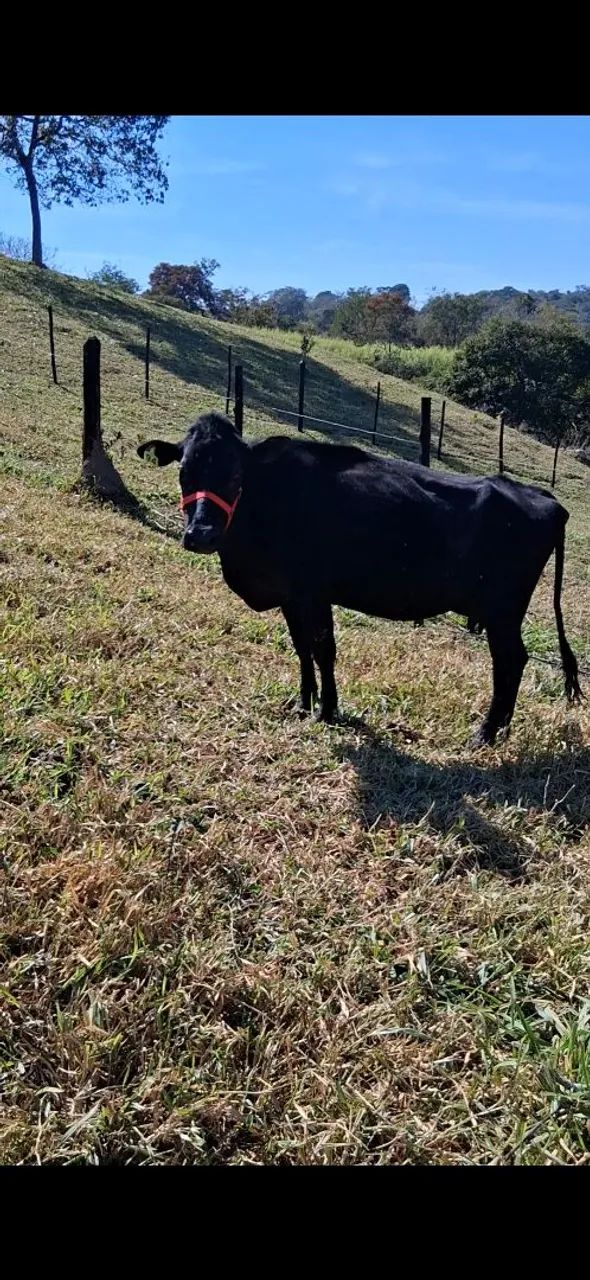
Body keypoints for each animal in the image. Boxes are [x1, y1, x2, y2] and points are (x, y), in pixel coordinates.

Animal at [138, 412, 582, 747]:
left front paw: (328, 710)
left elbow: (323, 650)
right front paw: (303, 703)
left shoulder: (313, 592)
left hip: (502, 612)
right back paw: (497, 730)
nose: (200, 535)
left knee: (510, 661)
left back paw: (486, 734)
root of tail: (546, 498)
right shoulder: (290, 596)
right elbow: (301, 649)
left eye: (234, 475)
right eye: (184, 472)